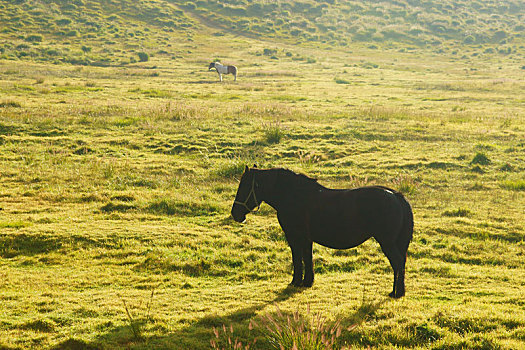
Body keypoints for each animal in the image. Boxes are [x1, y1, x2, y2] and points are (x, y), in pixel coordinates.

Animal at [231, 167, 412, 298]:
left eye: (245, 187)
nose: (235, 214)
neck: (293, 196)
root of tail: (396, 196)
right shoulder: (305, 238)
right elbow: (307, 258)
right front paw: (307, 281)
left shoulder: (295, 237)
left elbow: (298, 258)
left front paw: (297, 281)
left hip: (387, 242)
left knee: (397, 263)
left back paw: (396, 293)